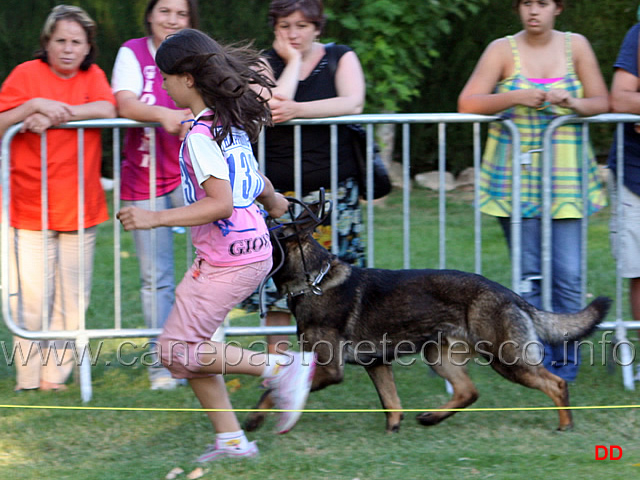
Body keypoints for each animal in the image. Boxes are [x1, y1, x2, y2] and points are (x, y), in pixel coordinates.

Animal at [244, 193, 608, 434]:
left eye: (269, 231)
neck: (315, 281)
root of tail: (508, 293)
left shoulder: (330, 369)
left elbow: (271, 389)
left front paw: (254, 419)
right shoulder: (377, 364)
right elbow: (391, 402)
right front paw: (393, 428)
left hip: (506, 359)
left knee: (556, 383)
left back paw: (565, 424)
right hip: (439, 356)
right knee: (468, 392)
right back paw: (432, 417)